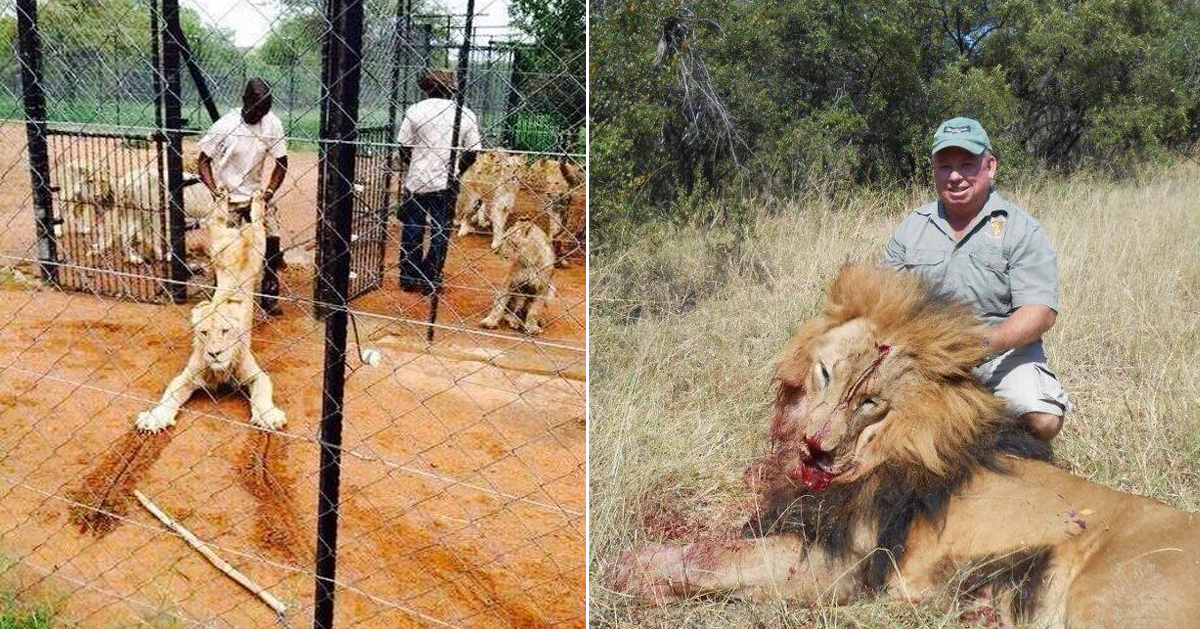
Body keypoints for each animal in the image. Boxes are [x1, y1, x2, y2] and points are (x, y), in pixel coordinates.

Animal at [614, 265, 1200, 629]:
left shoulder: (837, 569)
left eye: (871, 401)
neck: (882, 449)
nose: (814, 444)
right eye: (825, 374)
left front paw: (632, 570)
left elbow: (716, 562)